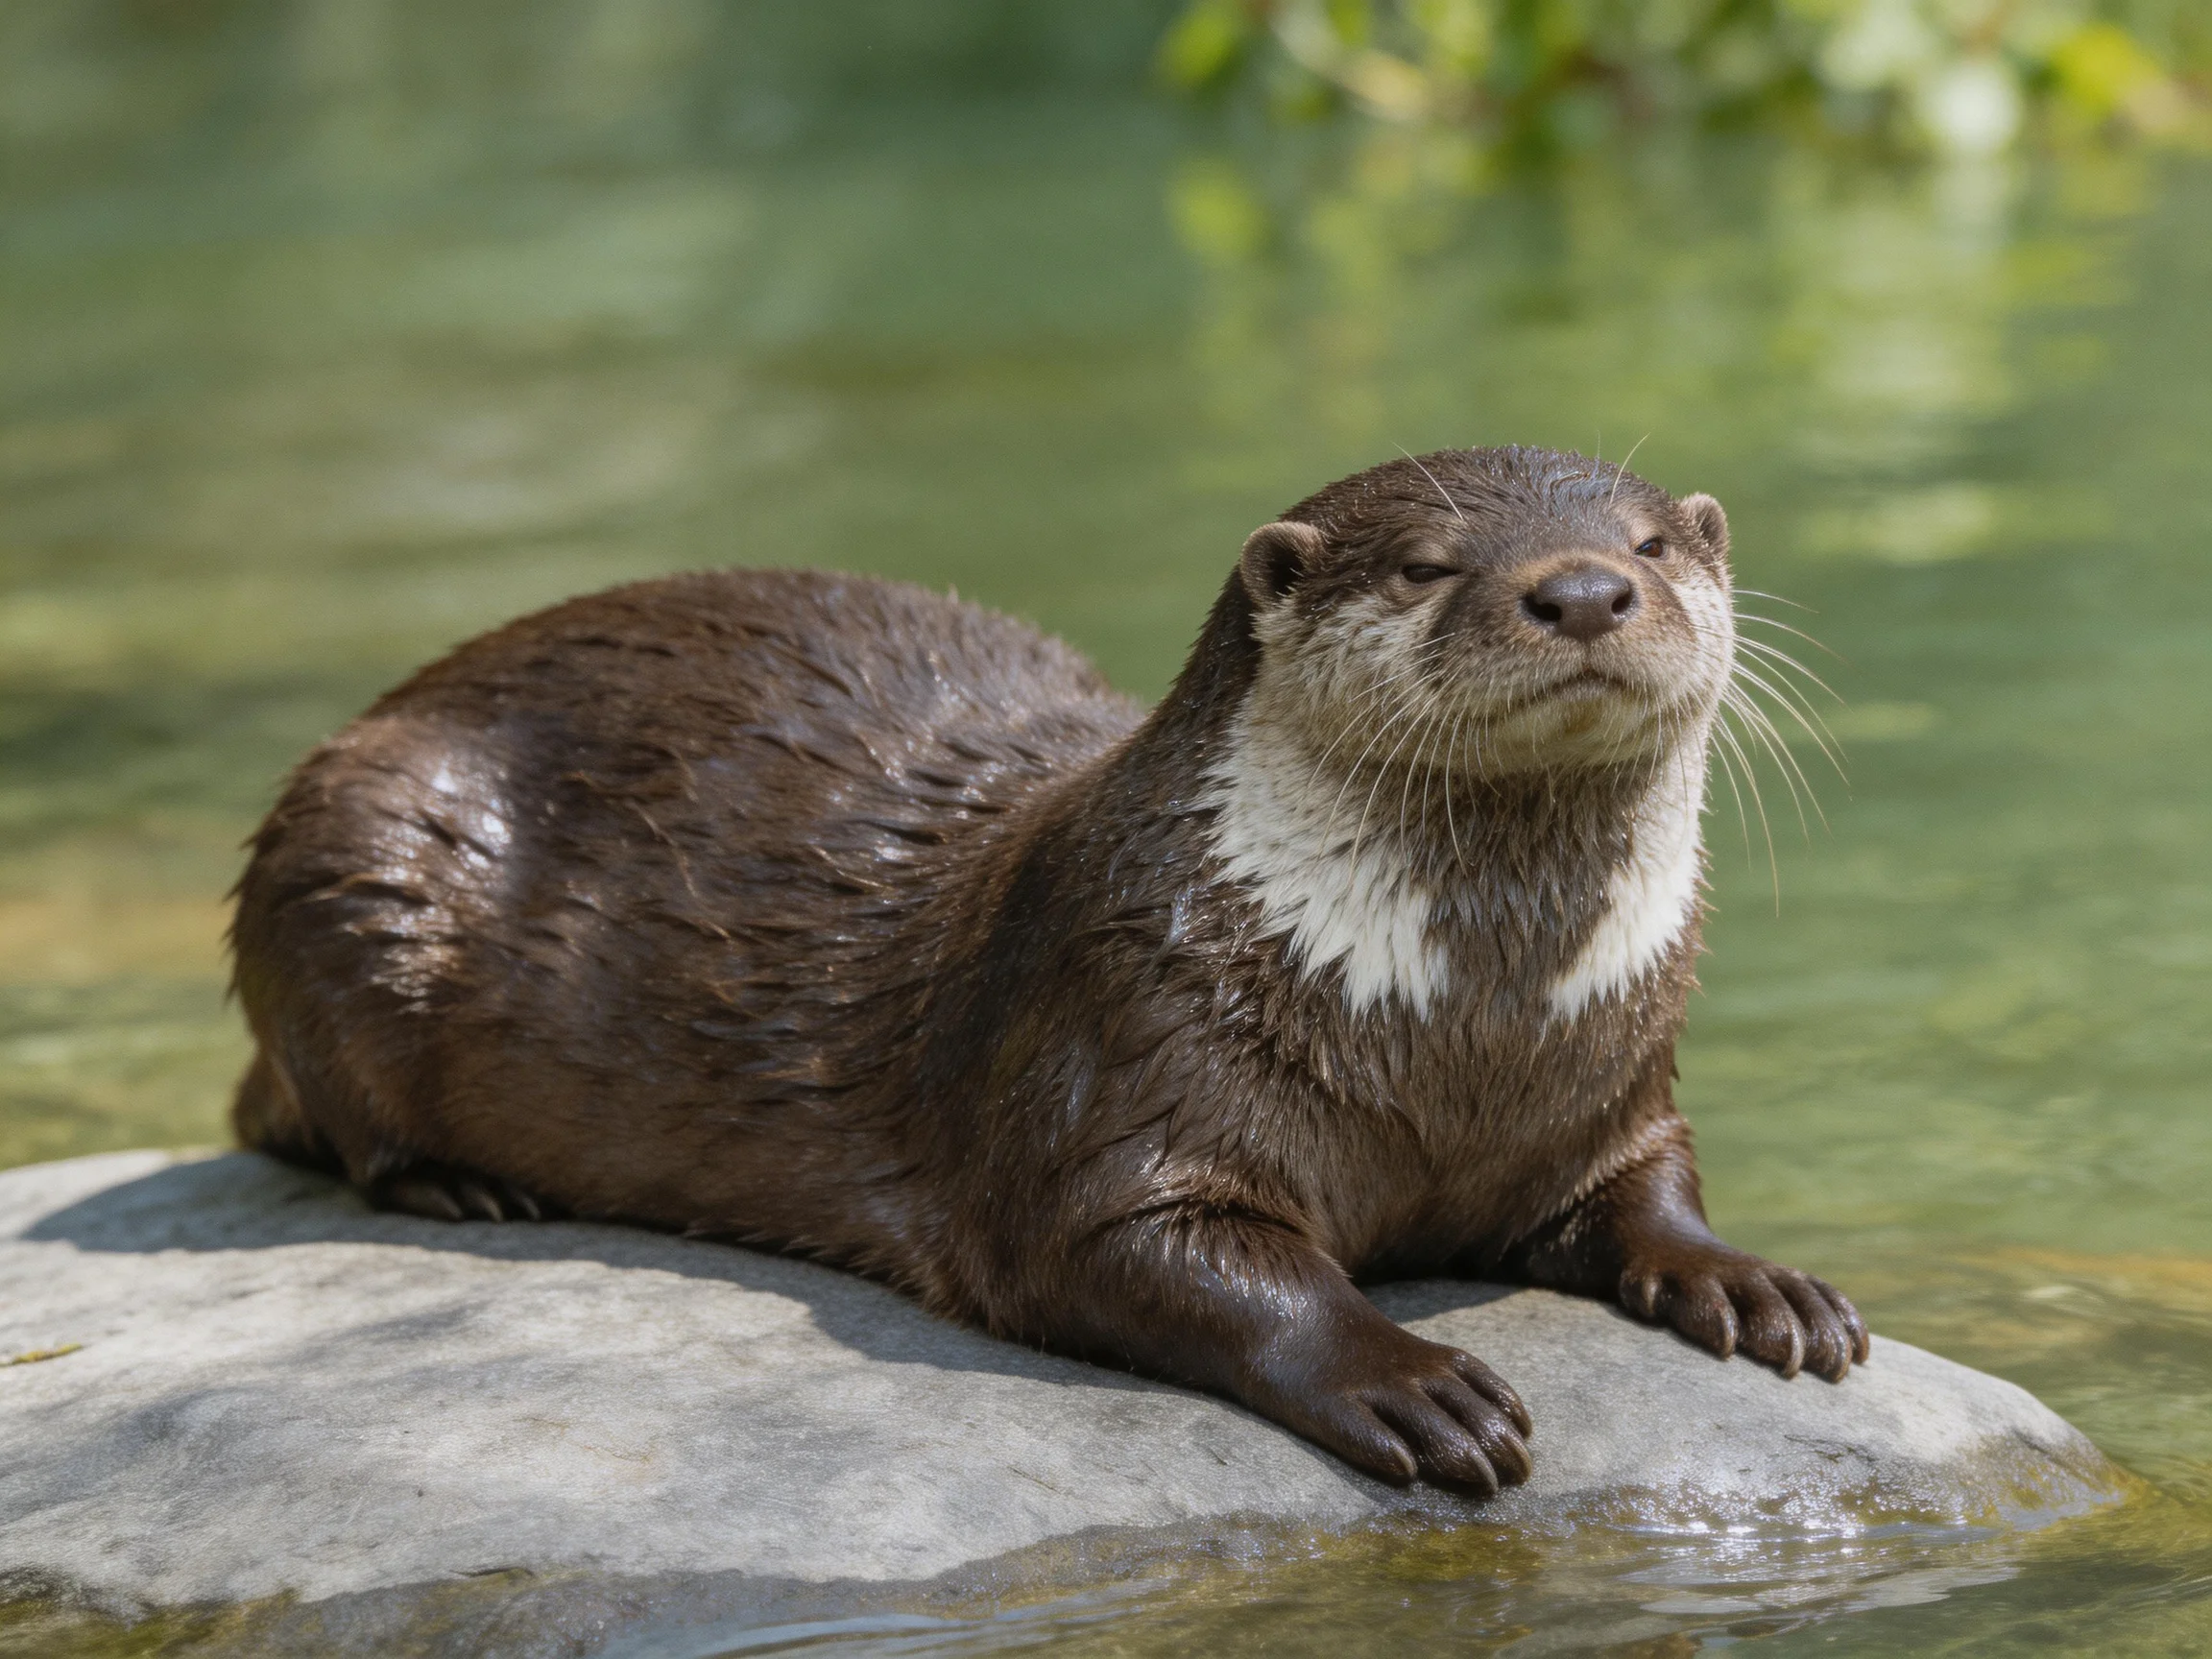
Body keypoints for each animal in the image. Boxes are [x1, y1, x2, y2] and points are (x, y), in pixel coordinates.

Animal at [230, 446, 1866, 1494]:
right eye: (1427, 565)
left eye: (1652, 543)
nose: (1581, 589)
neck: (1469, 1022)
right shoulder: (1111, 1045)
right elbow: (1163, 1255)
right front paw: (1407, 1379)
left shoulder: (1612, 1080)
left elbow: (1650, 1185)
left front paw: (1759, 1283)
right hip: (355, 835)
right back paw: (465, 1185)